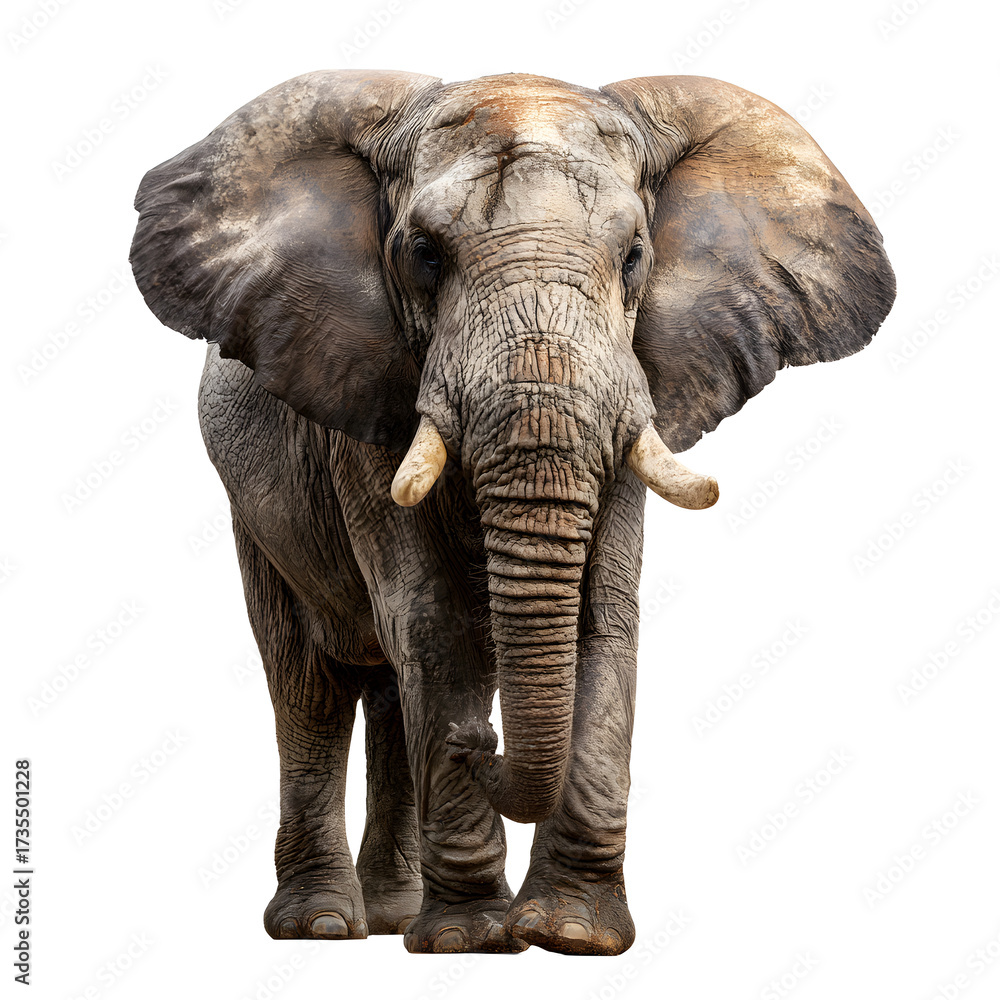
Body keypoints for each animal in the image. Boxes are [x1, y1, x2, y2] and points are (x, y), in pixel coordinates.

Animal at [130, 69, 894, 955]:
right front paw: (471, 937)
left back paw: (393, 916)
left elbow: (603, 617)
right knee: (310, 683)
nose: (479, 743)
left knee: (385, 693)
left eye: (635, 257)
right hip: (255, 507)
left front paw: (569, 934)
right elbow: (432, 622)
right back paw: (323, 924)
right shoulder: (365, 398)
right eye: (424, 255)